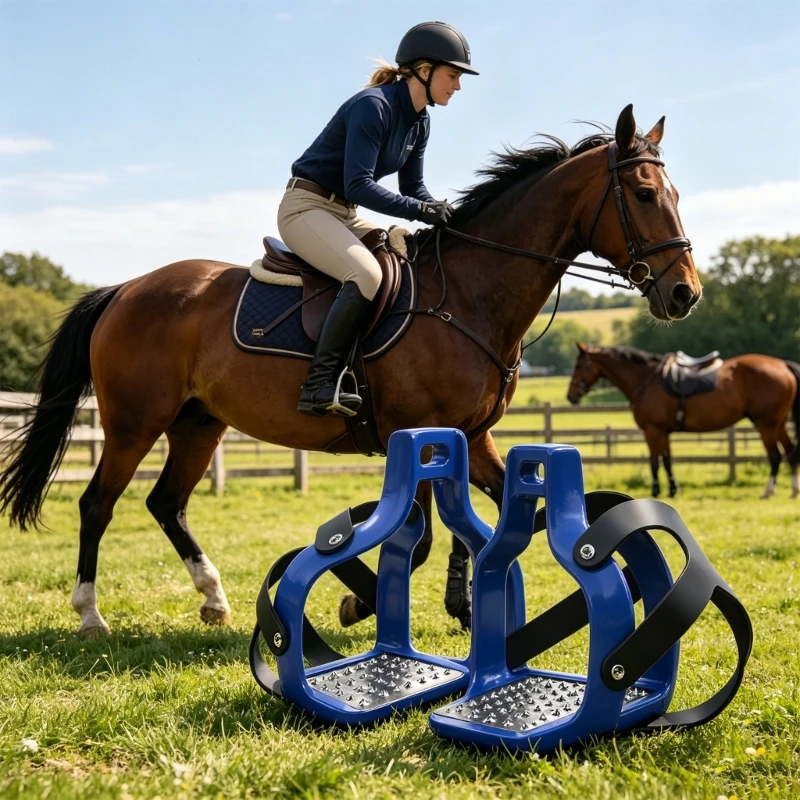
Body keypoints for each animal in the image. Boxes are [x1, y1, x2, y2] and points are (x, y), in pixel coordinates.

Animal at [0, 105, 701, 635]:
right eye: (643, 195)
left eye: (674, 194)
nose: (684, 294)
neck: (470, 294)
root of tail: (124, 290)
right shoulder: (422, 433)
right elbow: (423, 537)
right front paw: (357, 602)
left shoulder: (471, 436)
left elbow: (493, 517)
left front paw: (465, 607)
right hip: (133, 421)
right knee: (98, 503)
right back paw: (90, 615)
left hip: (198, 424)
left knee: (165, 502)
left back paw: (214, 599)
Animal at [567, 343, 800, 499]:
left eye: (578, 366)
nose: (570, 396)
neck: (647, 380)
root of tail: (783, 365)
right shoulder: (663, 432)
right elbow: (667, 460)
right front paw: (673, 490)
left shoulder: (652, 431)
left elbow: (654, 462)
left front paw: (656, 491)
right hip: (778, 423)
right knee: (790, 452)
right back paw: (794, 490)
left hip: (766, 424)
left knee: (776, 456)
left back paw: (768, 491)